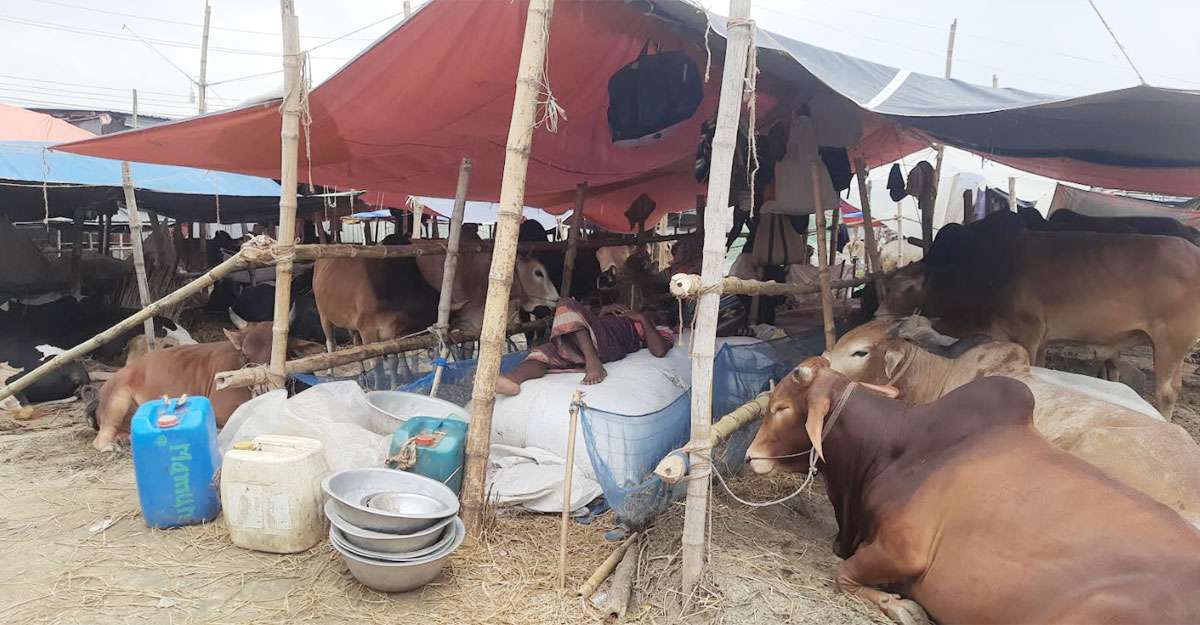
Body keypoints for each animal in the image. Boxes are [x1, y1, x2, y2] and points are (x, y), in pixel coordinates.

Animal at [89, 322, 323, 452]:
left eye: (283, 354)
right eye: (245, 355)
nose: (260, 389)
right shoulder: (220, 408)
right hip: (118, 400)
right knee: (102, 437)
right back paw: (109, 446)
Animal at [877, 210, 1200, 418]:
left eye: (897, 286)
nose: (878, 315)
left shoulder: (1027, 334)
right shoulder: (1042, 340)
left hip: (1170, 343)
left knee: (1167, 390)